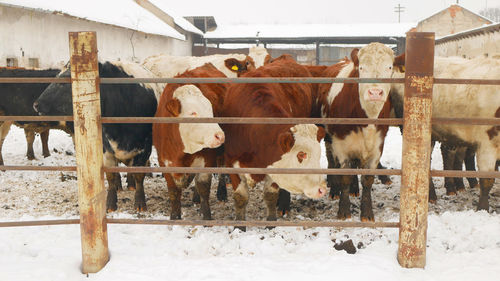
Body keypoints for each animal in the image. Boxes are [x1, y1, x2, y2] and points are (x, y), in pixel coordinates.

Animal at [34, 60, 158, 211]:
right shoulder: (106, 148)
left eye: (64, 81)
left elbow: (139, 174)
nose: (36, 105)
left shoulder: (145, 147)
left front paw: (140, 202)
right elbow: (110, 174)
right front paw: (110, 203)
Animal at [151, 62, 235, 220]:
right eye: (193, 113)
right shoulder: (164, 162)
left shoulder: (207, 160)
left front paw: (206, 216)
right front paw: (175, 217)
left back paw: (221, 193)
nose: (220, 135)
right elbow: (173, 192)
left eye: (211, 111)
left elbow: (203, 188)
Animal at [223, 54, 328, 223]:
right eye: (301, 154)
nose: (321, 189)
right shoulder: (231, 162)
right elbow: (240, 197)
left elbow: (270, 196)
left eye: (319, 154)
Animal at [318, 42, 396, 221]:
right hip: (329, 137)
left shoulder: (377, 146)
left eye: (389, 67)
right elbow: (345, 176)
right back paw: (334, 189)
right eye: (361, 67)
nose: (375, 93)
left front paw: (367, 212)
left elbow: (367, 179)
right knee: (332, 160)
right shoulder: (341, 143)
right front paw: (344, 210)